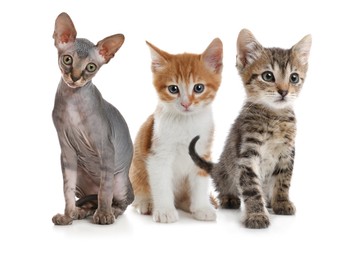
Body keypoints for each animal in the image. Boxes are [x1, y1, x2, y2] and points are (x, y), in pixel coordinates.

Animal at [128, 39, 223, 223]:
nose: (186, 103)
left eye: (198, 88)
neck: (186, 123)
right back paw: (146, 203)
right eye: (173, 89)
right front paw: (165, 210)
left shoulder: (203, 152)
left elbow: (200, 182)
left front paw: (202, 207)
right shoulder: (158, 155)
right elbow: (161, 184)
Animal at [189, 28, 312, 228]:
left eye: (294, 78)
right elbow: (252, 188)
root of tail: (218, 166)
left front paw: (281, 202)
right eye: (268, 76)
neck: (275, 116)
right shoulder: (247, 154)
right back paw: (230, 198)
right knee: (225, 186)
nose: (284, 91)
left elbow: (284, 180)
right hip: (225, 172)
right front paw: (256, 214)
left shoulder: (287, 153)